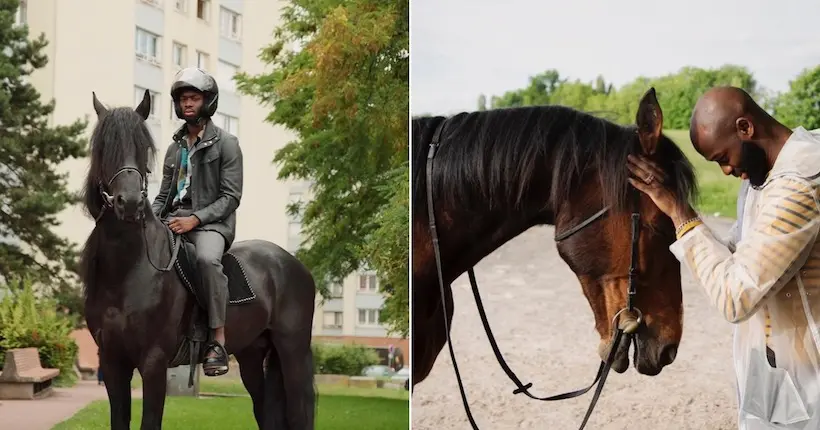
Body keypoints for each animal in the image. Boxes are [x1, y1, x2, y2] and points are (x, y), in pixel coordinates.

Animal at [78, 90, 318, 430]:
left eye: (143, 147)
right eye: (103, 147)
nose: (131, 203)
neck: (127, 271)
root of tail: (295, 266)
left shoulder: (153, 362)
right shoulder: (112, 363)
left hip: (292, 351)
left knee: (300, 411)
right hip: (252, 355)